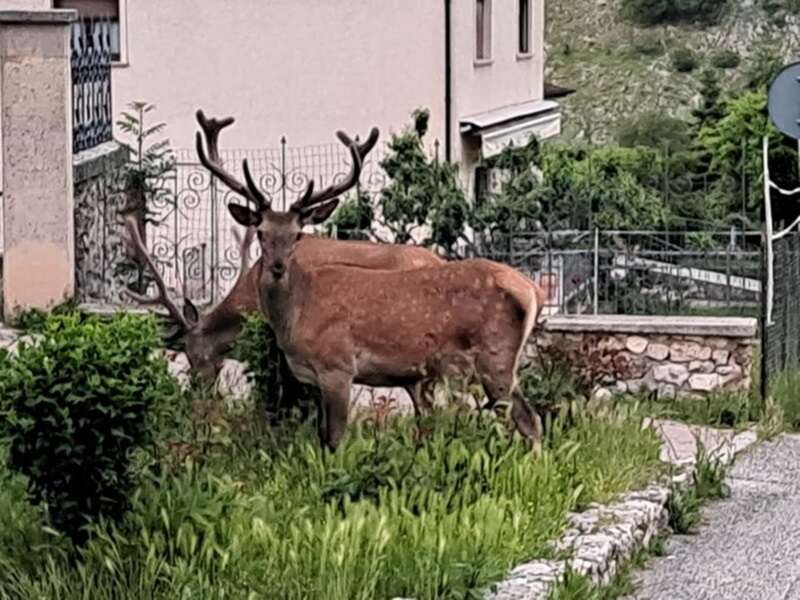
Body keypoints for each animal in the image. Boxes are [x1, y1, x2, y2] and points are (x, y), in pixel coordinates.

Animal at [212, 120, 548, 450]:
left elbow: (334, 438)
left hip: (496, 355)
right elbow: (320, 437)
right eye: (261, 232)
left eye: (298, 234)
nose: (277, 267)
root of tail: (533, 290)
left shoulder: (338, 365)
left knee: (527, 418)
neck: (297, 314)